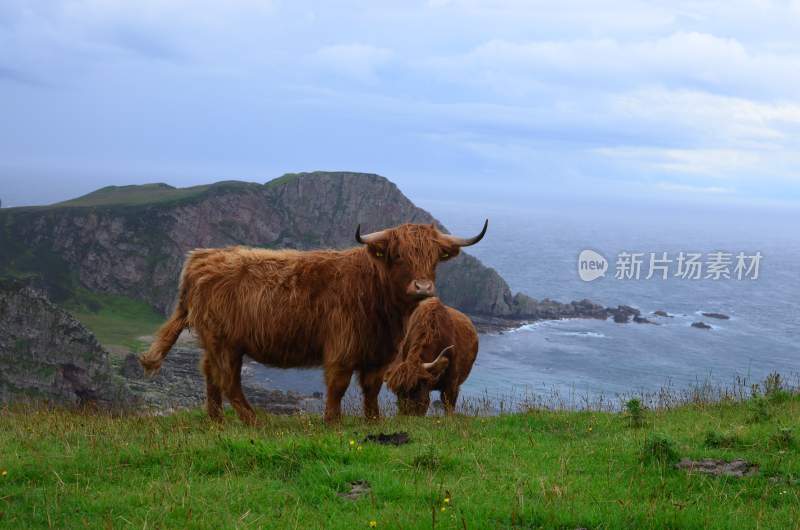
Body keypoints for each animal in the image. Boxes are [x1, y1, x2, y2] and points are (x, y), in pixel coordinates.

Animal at [140, 219, 484, 420]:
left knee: (210, 374)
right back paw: (255, 421)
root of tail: (201, 258)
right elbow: (338, 387)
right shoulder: (341, 349)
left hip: (214, 342)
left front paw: (372, 422)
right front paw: (333, 423)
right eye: (398, 255)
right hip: (225, 343)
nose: (423, 287)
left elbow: (371, 390)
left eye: (434, 258)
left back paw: (216, 421)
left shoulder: (379, 354)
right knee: (228, 381)